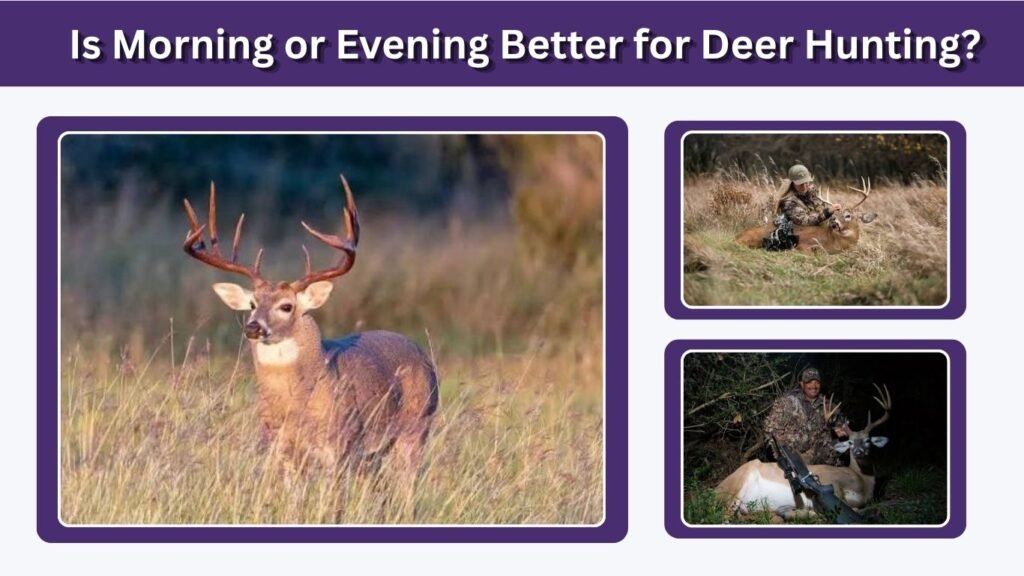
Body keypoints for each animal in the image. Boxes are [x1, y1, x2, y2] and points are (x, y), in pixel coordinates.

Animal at [181, 176, 439, 491]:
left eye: (287, 306)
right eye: (252, 304)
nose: (253, 327)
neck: (295, 406)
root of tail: (424, 356)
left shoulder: (339, 447)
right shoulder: (282, 449)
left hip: (416, 427)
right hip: (374, 454)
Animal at [714, 384, 891, 518]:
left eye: (868, 440)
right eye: (850, 442)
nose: (859, 452)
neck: (861, 480)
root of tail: (716, 489)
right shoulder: (833, 483)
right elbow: (849, 506)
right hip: (737, 486)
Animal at [735, 178, 878, 254]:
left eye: (848, 215)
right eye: (835, 214)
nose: (834, 221)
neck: (838, 242)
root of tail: (737, 237)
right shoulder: (806, 244)